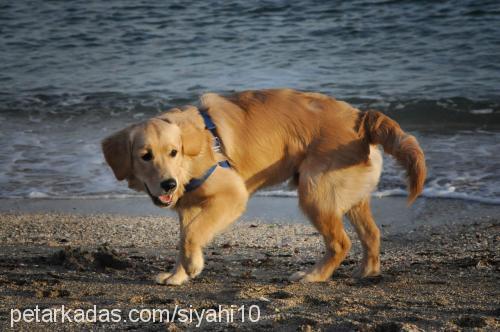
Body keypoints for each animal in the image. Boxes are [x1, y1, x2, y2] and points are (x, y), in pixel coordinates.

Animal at [101, 88, 426, 286]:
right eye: (145, 156)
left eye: (173, 152)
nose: (168, 183)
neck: (193, 154)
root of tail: (361, 118)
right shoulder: (189, 207)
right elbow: (184, 238)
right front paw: (179, 275)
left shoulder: (232, 195)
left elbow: (191, 235)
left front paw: (191, 267)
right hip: (346, 195)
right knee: (371, 234)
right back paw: (366, 272)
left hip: (315, 192)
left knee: (340, 243)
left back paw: (314, 276)